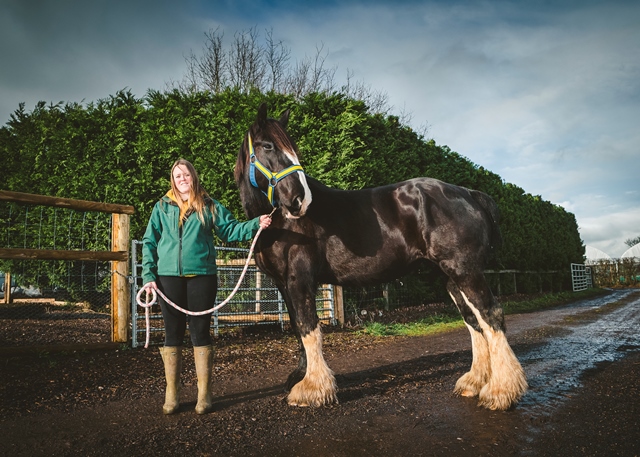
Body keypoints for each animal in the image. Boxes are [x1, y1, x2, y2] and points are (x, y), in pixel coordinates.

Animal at [234, 103, 527, 411]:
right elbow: (297, 327)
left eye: (293, 150)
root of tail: (469, 194)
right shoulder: (284, 284)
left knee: (491, 314)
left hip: (465, 271)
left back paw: (501, 391)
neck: (281, 223)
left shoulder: (299, 279)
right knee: (474, 320)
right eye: (268, 146)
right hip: (451, 277)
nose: (300, 200)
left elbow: (308, 327)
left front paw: (312, 389)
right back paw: (474, 382)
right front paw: (301, 377)